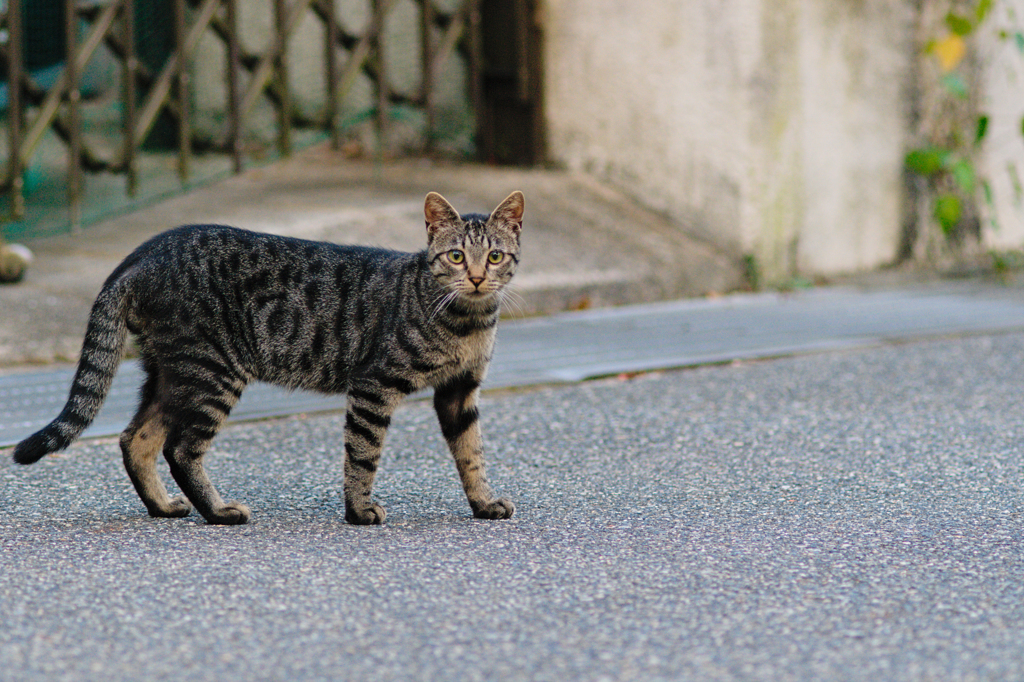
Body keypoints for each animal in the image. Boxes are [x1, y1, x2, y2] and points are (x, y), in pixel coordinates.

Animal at [14, 191, 528, 524]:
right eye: (457, 256)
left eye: (495, 257)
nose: (477, 278)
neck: (467, 321)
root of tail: (142, 253)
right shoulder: (373, 386)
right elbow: (363, 454)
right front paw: (359, 511)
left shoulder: (460, 392)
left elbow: (472, 454)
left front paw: (483, 504)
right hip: (213, 372)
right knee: (179, 448)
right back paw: (219, 512)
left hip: (172, 374)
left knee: (135, 439)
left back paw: (163, 507)